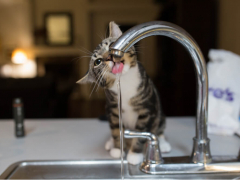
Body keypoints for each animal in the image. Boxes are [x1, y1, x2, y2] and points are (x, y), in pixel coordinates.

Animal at [77, 21, 171, 165]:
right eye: (98, 61)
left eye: (111, 46)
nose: (109, 57)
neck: (124, 82)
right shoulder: (112, 108)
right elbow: (116, 129)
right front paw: (117, 149)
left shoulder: (147, 108)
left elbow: (141, 132)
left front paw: (134, 154)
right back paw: (110, 143)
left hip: (159, 111)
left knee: (159, 127)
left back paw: (163, 142)